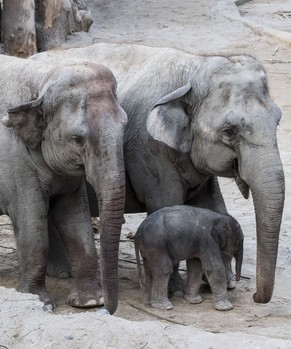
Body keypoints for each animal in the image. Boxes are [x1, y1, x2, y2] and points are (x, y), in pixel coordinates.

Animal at [0, 53, 128, 312]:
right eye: (78, 139)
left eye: (125, 126)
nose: (109, 310)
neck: (42, 80)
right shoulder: (15, 162)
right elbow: (32, 222)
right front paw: (40, 302)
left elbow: (75, 219)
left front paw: (89, 302)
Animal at [31, 42, 286, 304]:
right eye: (229, 131)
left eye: (278, 120)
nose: (256, 296)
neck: (194, 67)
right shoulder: (147, 151)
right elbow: (167, 204)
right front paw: (178, 291)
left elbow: (212, 205)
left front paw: (222, 283)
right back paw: (61, 273)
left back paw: (62, 272)